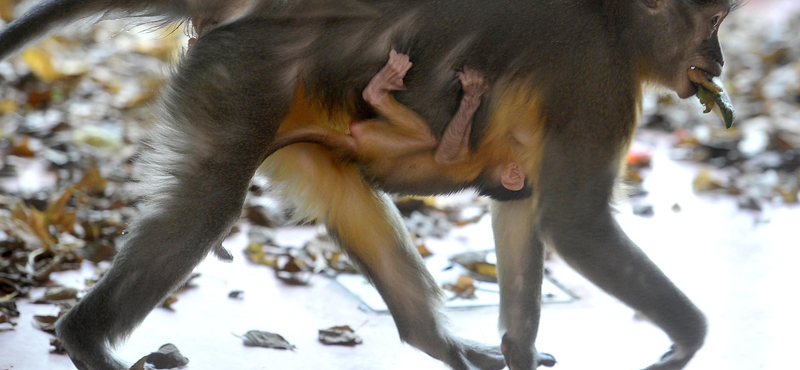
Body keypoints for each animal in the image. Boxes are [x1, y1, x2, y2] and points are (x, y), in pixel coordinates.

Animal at [0, 0, 740, 370]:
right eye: (713, 23)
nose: (718, 62)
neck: (614, 21)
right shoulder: (597, 76)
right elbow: (575, 225)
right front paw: (689, 338)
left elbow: (525, 207)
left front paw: (518, 352)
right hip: (241, 77)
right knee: (206, 206)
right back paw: (85, 337)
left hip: (299, 119)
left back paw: (435, 340)